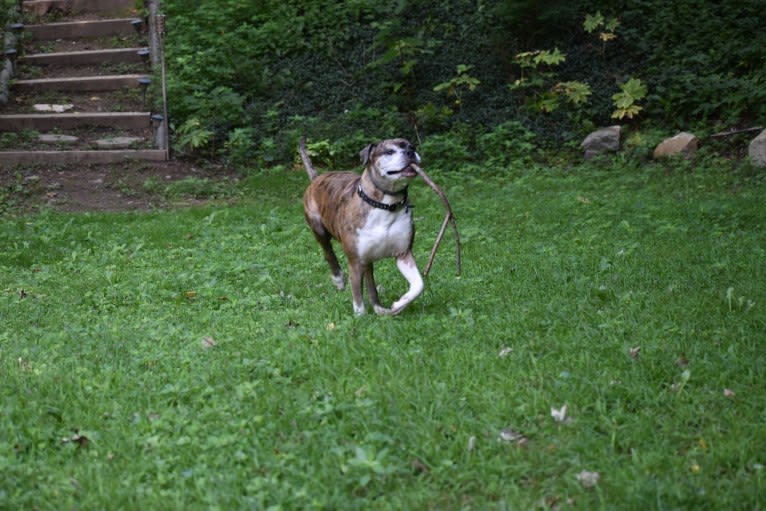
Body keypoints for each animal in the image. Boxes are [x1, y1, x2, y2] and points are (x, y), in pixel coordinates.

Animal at [304, 140, 426, 316]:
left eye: (412, 146)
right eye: (389, 151)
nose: (411, 152)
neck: (385, 205)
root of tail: (317, 178)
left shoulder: (403, 254)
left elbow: (419, 285)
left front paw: (399, 303)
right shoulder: (355, 261)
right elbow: (357, 295)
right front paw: (360, 316)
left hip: (367, 259)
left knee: (370, 282)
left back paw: (379, 308)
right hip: (319, 229)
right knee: (328, 252)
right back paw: (338, 278)